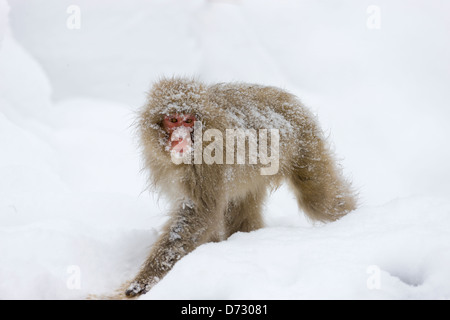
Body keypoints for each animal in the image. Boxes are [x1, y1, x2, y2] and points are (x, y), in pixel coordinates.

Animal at [125, 77, 356, 298]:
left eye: (188, 120)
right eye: (173, 120)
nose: (180, 138)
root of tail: (288, 98)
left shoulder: (209, 162)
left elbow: (200, 214)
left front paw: (146, 280)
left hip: (305, 143)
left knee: (320, 201)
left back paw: (354, 222)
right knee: (241, 211)